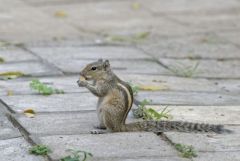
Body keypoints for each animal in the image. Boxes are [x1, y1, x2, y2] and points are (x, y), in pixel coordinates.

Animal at [77, 59, 231, 135]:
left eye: (93, 68)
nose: (81, 73)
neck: (105, 76)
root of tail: (121, 126)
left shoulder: (106, 85)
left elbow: (99, 92)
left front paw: (83, 82)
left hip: (107, 110)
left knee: (112, 130)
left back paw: (99, 131)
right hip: (100, 110)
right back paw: (99, 125)